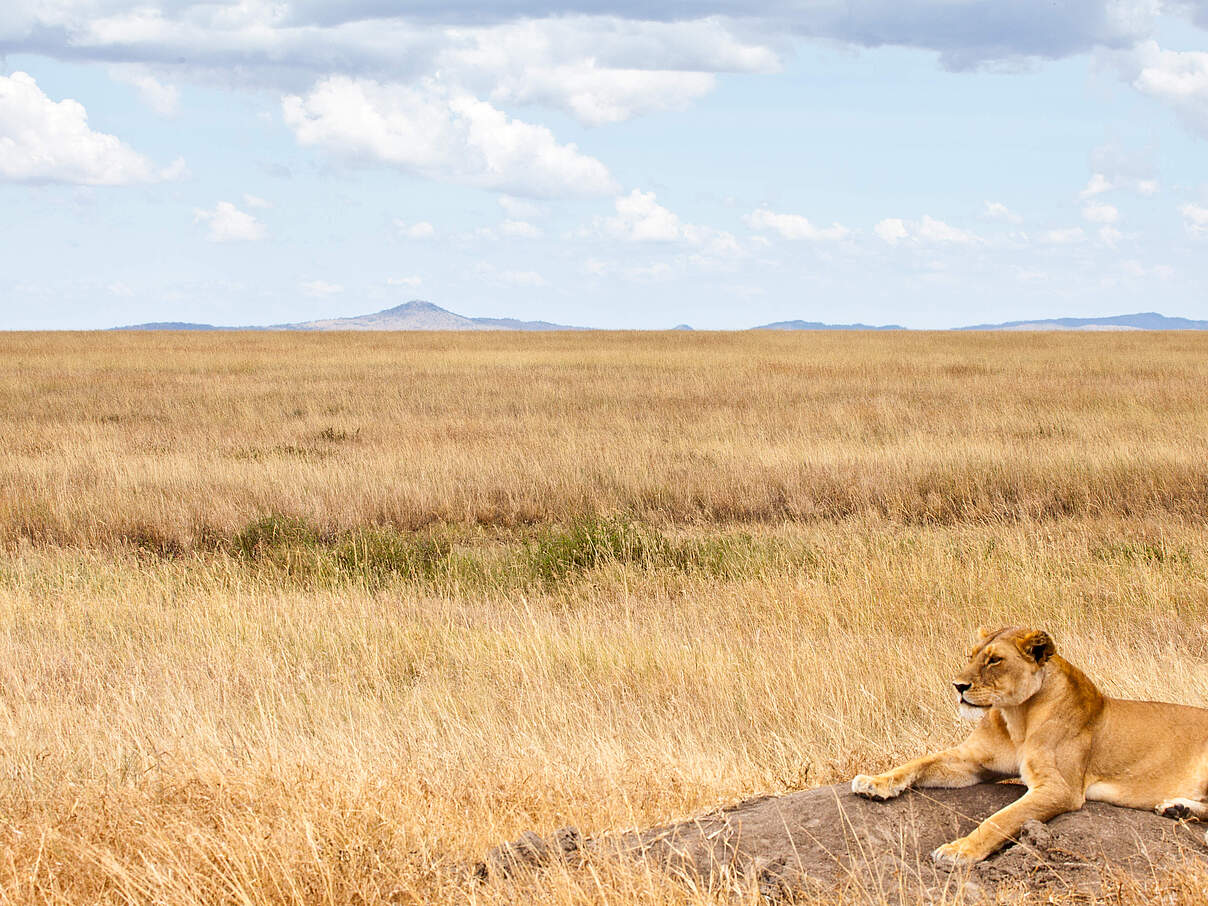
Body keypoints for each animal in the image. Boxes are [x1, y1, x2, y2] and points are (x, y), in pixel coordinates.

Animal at [850, 626, 1208, 866]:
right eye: (971, 657)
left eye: (995, 660)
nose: (958, 686)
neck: (1017, 717)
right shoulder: (970, 761)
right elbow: (918, 762)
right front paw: (873, 782)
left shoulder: (1058, 788)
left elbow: (1002, 819)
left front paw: (959, 850)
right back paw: (1176, 808)